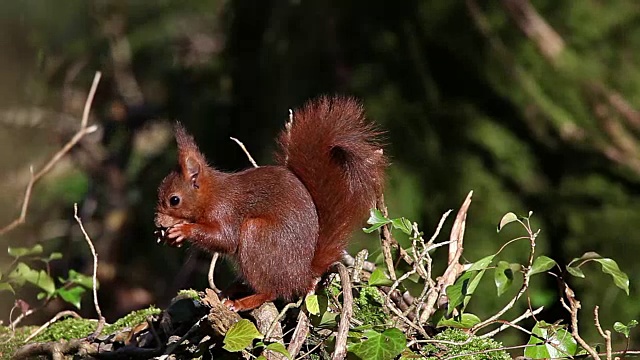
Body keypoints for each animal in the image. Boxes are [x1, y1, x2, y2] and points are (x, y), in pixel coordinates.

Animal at [154, 96, 384, 312]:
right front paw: (169, 237)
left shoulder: (225, 211)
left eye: (174, 200)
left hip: (257, 235)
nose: (157, 222)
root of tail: (302, 276)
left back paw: (243, 302)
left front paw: (183, 230)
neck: (211, 195)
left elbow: (225, 239)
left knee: (272, 291)